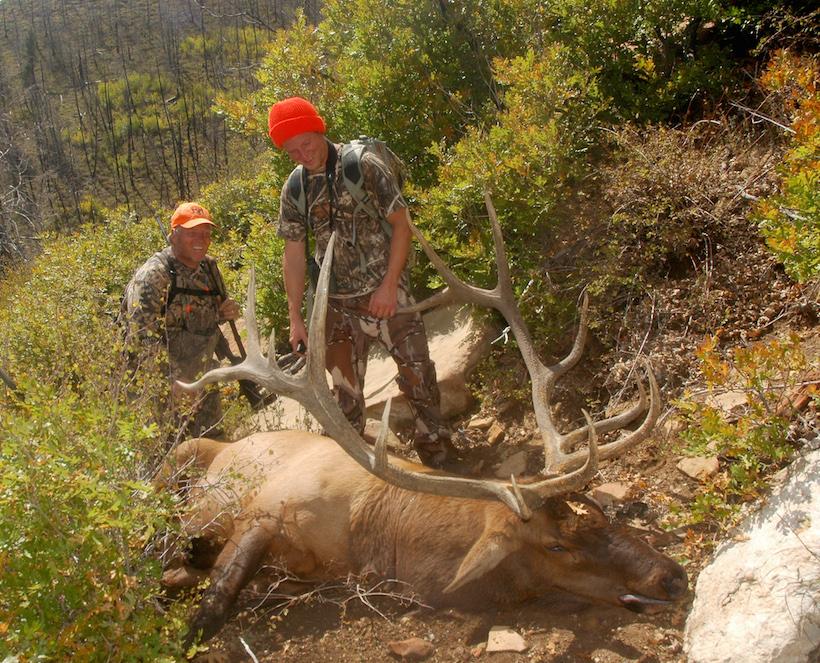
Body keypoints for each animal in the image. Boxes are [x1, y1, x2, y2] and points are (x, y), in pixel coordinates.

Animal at [165, 197, 688, 645]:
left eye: (600, 512)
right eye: (556, 546)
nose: (673, 577)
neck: (373, 540)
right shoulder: (266, 511)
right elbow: (212, 605)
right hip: (188, 452)